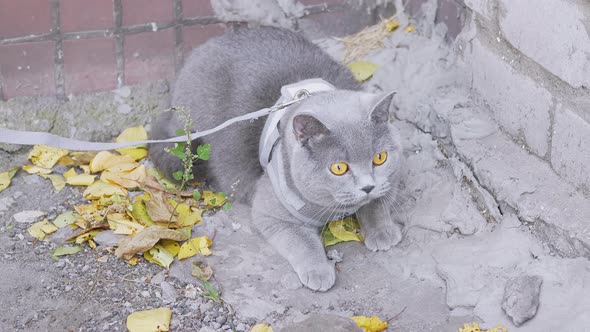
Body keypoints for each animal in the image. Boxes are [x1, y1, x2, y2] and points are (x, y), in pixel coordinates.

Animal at [150, 26, 404, 290]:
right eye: (339, 168)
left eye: (380, 158)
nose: (367, 186)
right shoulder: (270, 213)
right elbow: (301, 240)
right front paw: (318, 271)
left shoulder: (393, 175)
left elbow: (377, 203)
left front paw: (383, 232)